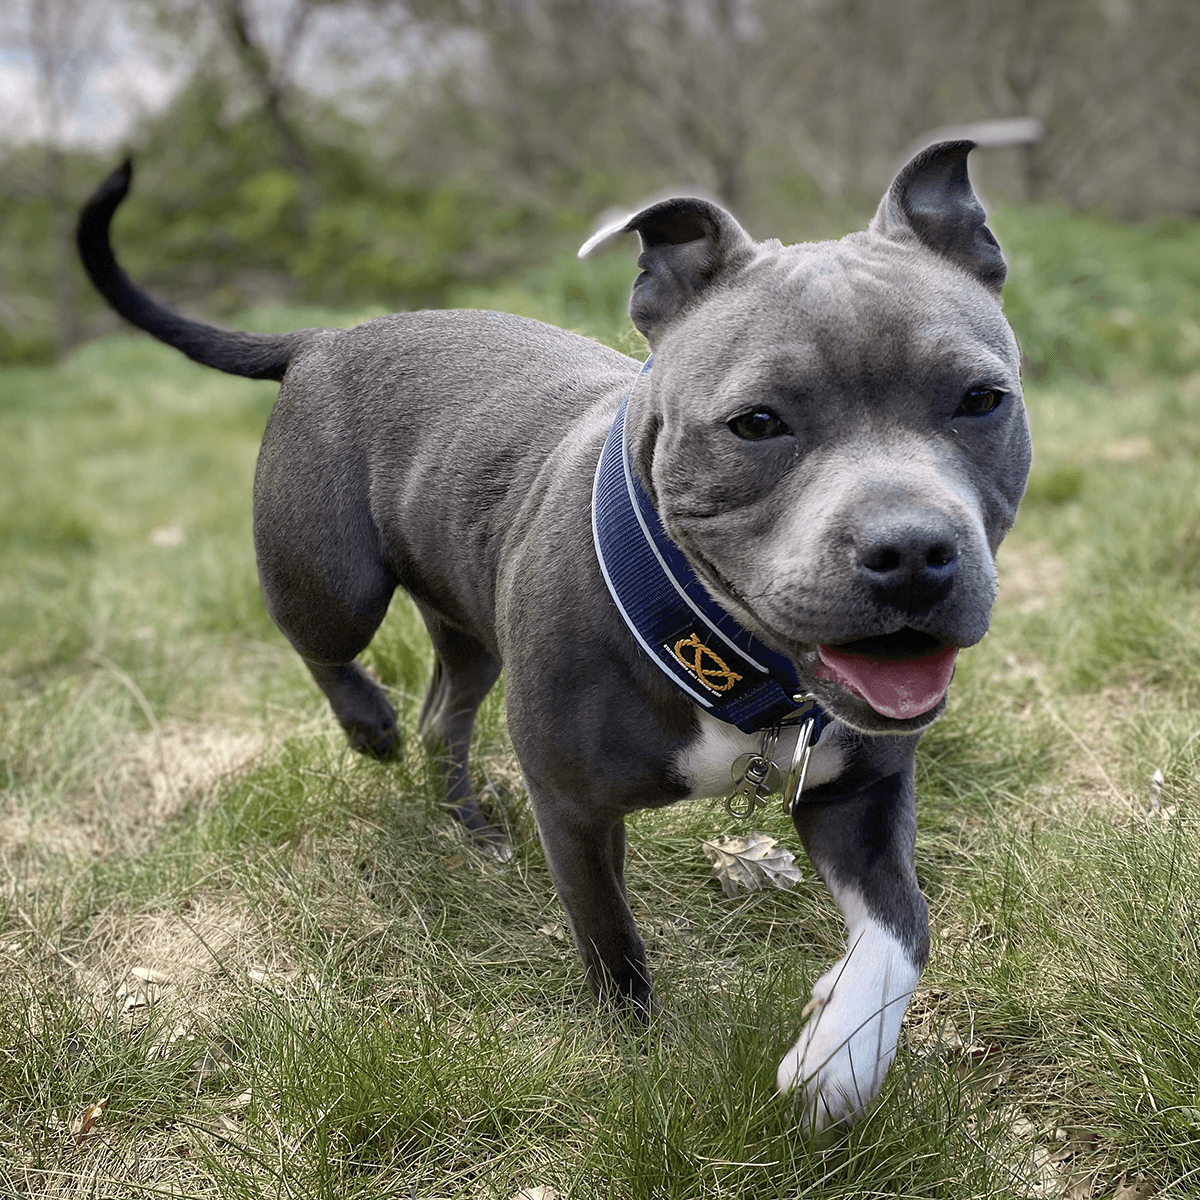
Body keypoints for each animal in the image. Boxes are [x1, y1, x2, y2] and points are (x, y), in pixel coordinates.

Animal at [75, 145, 1032, 1128]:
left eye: (980, 399)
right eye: (756, 422)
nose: (912, 551)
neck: (723, 650)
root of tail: (322, 338)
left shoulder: (860, 797)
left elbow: (903, 927)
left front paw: (841, 1055)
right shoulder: (573, 809)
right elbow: (611, 941)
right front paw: (637, 1056)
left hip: (469, 625)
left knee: (445, 714)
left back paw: (470, 828)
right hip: (331, 579)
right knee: (325, 644)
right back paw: (366, 723)